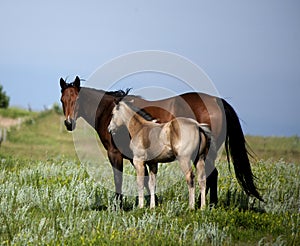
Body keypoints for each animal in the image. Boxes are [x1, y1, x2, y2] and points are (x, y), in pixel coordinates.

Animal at [59, 76, 264, 207]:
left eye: (77, 99)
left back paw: (206, 204)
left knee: (211, 175)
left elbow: (119, 179)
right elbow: (148, 180)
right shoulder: (141, 158)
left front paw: (119, 206)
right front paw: (151, 203)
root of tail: (217, 101)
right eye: (62, 100)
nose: (68, 123)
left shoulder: (115, 154)